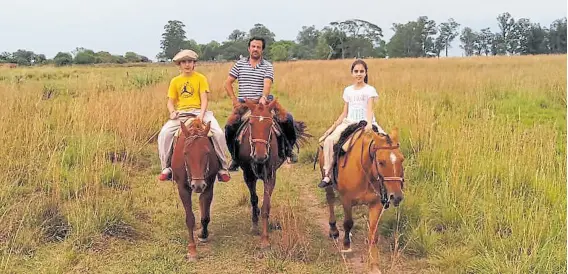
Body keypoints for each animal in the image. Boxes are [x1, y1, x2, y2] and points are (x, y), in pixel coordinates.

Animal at [170, 116, 219, 262]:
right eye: (185, 153)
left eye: (207, 152)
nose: (197, 185)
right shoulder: (183, 189)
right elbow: (190, 219)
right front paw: (192, 250)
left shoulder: (208, 186)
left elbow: (205, 216)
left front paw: (203, 235)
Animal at [233, 99, 308, 249]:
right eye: (251, 124)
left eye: (269, 125)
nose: (260, 156)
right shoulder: (248, 176)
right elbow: (254, 199)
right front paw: (255, 225)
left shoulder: (270, 176)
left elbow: (266, 206)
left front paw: (265, 240)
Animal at [316, 123, 404, 272]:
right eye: (381, 162)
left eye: (401, 159)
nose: (396, 196)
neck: (366, 171)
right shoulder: (346, 199)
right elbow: (348, 223)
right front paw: (346, 247)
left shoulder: (376, 204)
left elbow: (373, 233)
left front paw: (374, 264)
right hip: (327, 180)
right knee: (330, 200)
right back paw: (334, 230)